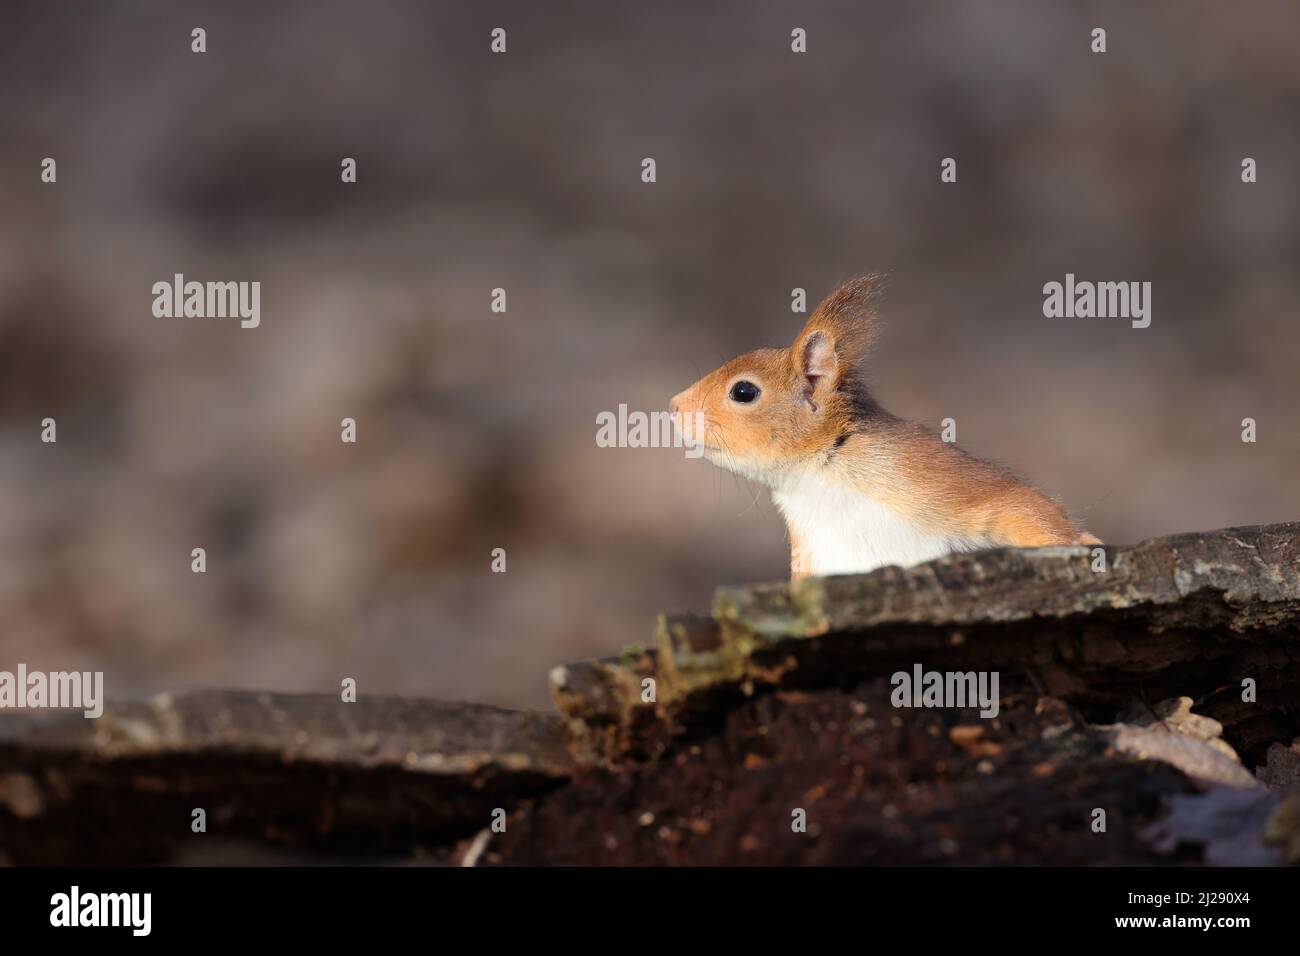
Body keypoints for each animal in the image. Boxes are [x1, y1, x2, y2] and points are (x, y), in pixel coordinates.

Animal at [670, 273, 1097, 580]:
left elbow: (1024, 509)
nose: (674, 408)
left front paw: (1079, 540)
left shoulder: (928, 476)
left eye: (743, 391)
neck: (819, 478)